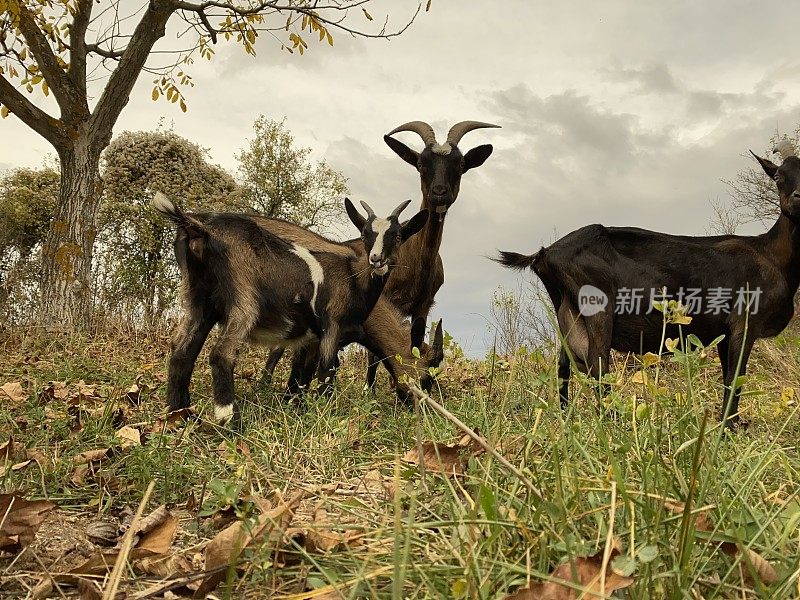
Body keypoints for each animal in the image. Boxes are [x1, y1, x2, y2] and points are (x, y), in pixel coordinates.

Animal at [152, 191, 434, 422]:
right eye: (366, 234)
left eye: (397, 235)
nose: (377, 259)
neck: (354, 279)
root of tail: (200, 228)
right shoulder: (331, 328)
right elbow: (325, 372)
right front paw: (322, 415)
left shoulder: (309, 337)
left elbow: (301, 375)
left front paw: (295, 406)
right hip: (244, 302)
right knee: (222, 354)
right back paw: (229, 422)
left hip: (199, 301)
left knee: (181, 351)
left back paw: (179, 416)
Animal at [262, 120, 500, 390]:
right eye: (421, 163)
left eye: (460, 164)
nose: (439, 192)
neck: (415, 259)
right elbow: (362, 357)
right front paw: (368, 389)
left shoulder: (423, 306)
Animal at [494, 142, 800, 426]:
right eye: (778, 176)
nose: (798, 198)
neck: (771, 254)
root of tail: (545, 253)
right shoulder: (743, 323)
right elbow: (735, 379)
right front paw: (727, 429)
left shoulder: (724, 333)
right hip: (597, 307)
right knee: (597, 364)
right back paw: (614, 422)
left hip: (567, 311)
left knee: (564, 365)